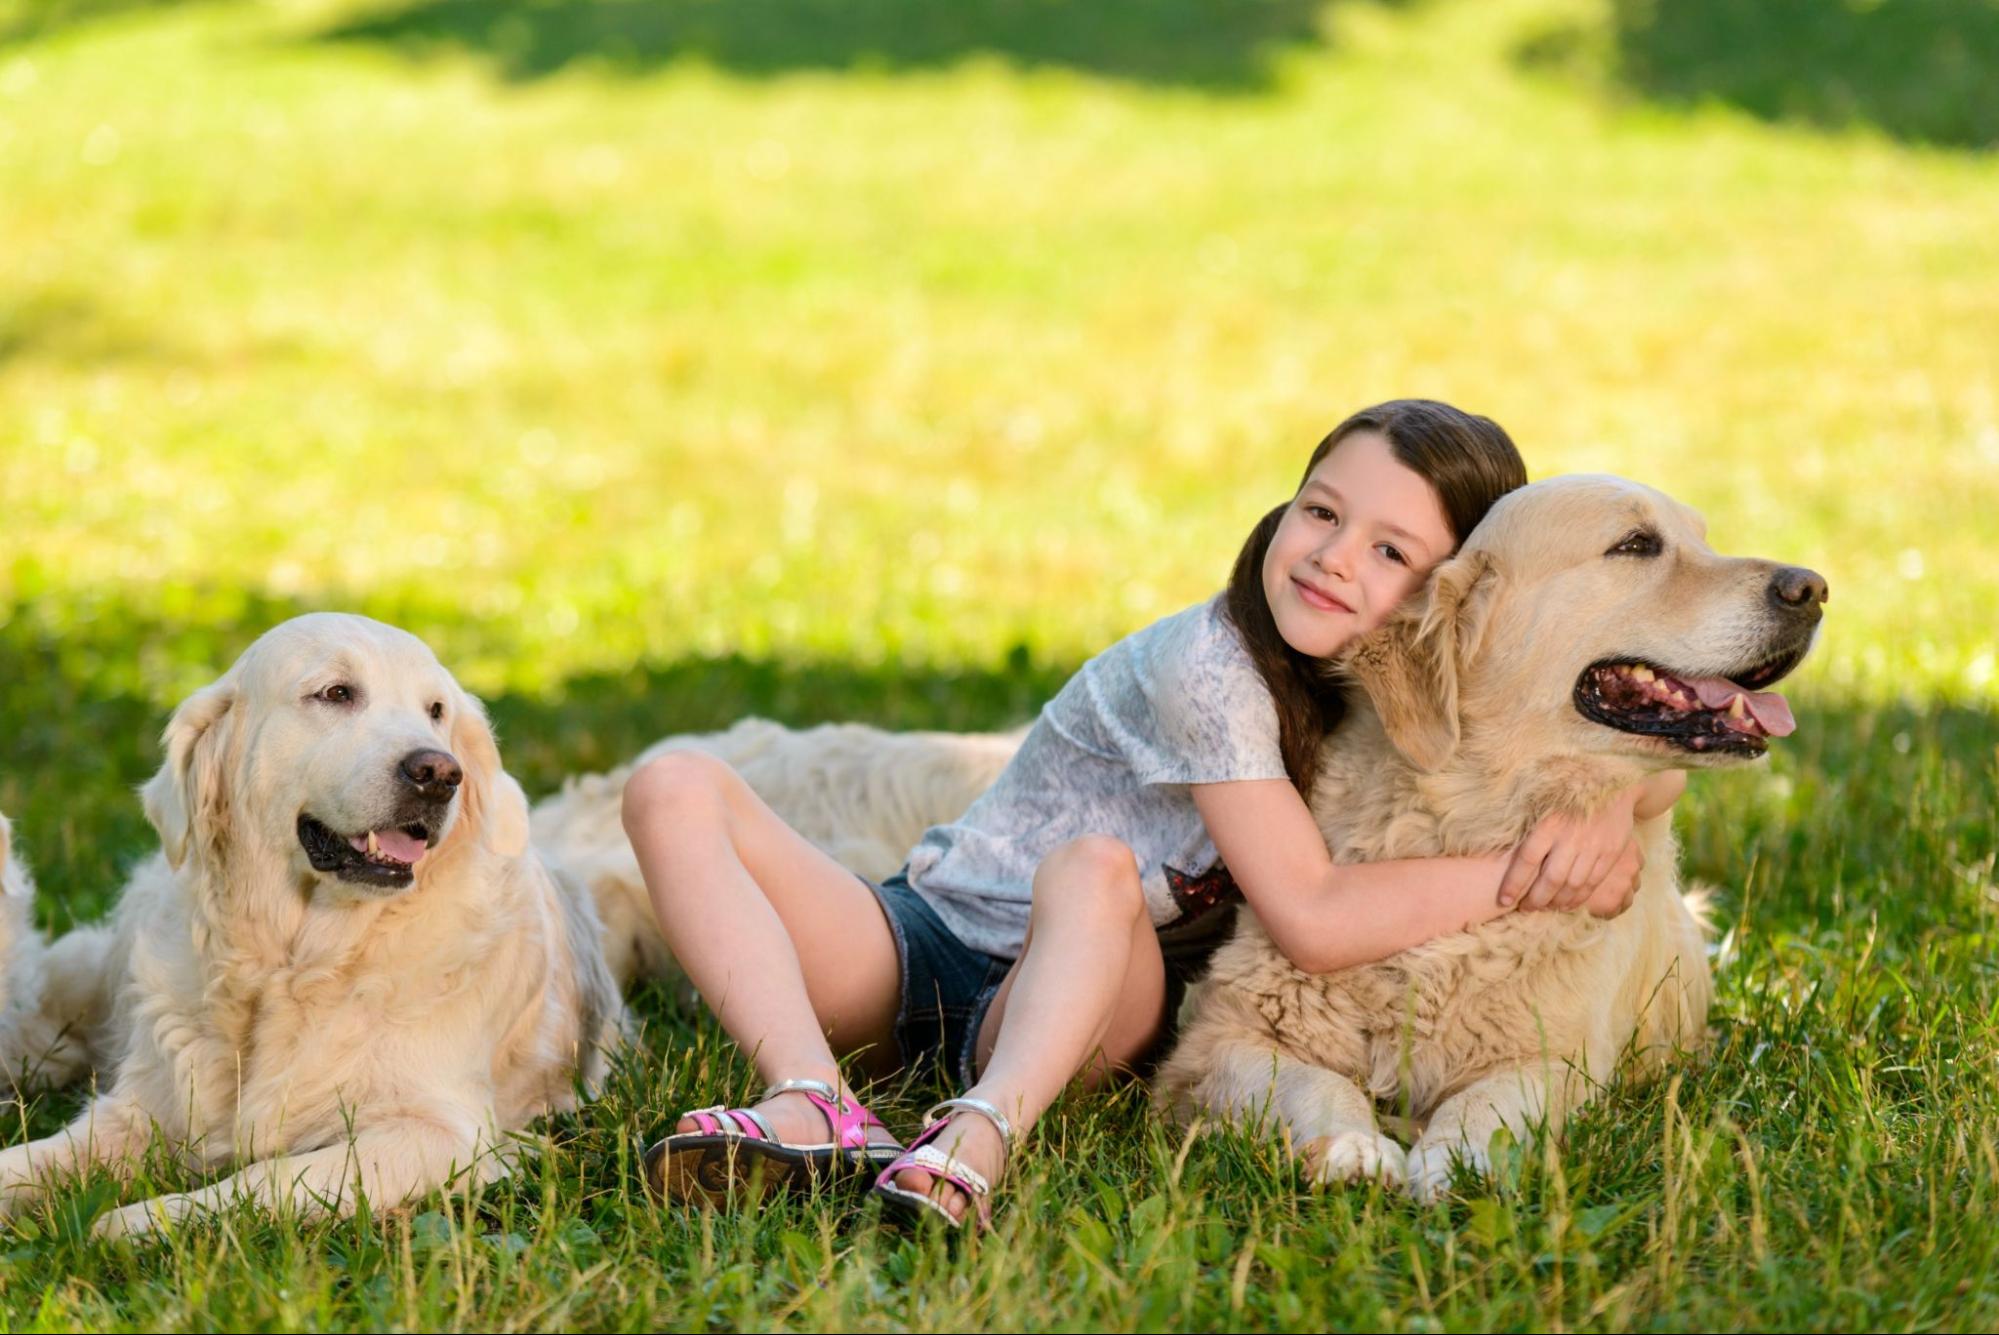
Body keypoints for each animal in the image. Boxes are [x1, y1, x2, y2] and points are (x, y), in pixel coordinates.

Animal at [0, 615, 619, 1239]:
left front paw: (133, 1222)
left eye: (436, 711)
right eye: (337, 693)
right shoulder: (143, 1109)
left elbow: (265, 1178)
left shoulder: (442, 1134)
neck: (297, 961)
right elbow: (35, 1158)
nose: (440, 773)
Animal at [1159, 473, 1831, 1207]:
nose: (1812, 588)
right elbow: (1312, 1081)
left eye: (1701, 538)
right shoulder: (1221, 1037)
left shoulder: (1556, 1056)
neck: (1461, 822)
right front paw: (1352, 1148)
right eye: (1635, 544)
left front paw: (1454, 1161)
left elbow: (1489, 1102)